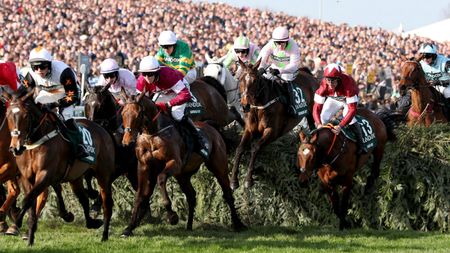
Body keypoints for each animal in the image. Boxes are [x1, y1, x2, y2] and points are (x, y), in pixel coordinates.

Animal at [4, 89, 117, 245]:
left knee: (107, 204)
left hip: (103, 175)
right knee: (83, 198)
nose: (16, 148)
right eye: (8, 115)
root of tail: (102, 129)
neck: (34, 144)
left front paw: (16, 223)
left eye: (26, 116)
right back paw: (91, 222)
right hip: (75, 177)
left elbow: (27, 199)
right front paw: (30, 239)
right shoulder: (27, 178)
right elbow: (31, 202)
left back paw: (104, 235)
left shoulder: (45, 175)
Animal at [119, 91, 246, 237]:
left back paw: (238, 224)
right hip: (183, 175)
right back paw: (189, 225)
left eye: (138, 114)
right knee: (191, 195)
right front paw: (129, 227)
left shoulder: (174, 162)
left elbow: (161, 179)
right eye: (123, 113)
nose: (127, 141)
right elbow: (140, 196)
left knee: (227, 194)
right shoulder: (144, 167)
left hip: (218, 166)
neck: (152, 134)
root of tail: (211, 127)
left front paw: (172, 215)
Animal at [232, 59, 320, 189]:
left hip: (312, 113)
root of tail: (310, 75)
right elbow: (240, 148)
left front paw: (248, 180)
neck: (260, 105)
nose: (245, 105)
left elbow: (256, 147)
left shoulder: (272, 131)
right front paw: (233, 180)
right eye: (240, 79)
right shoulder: (249, 129)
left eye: (255, 80)